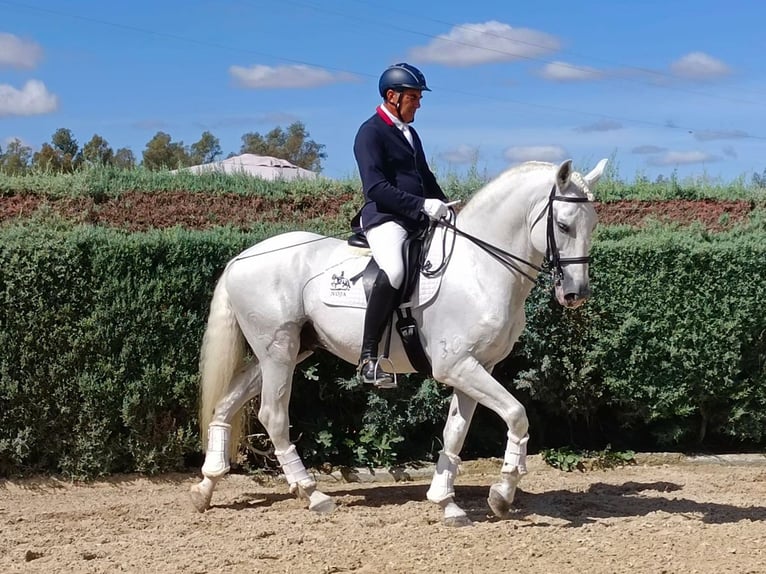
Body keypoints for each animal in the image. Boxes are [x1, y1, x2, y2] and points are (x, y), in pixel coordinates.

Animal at [189, 158, 608, 528]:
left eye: (592, 223)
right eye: (563, 224)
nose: (576, 294)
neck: (480, 268)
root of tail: (241, 258)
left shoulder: (478, 366)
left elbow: (455, 431)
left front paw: (446, 502)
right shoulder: (457, 366)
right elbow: (517, 414)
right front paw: (502, 494)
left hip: (286, 351)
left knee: (226, 404)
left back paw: (206, 487)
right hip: (278, 351)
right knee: (273, 415)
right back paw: (312, 493)